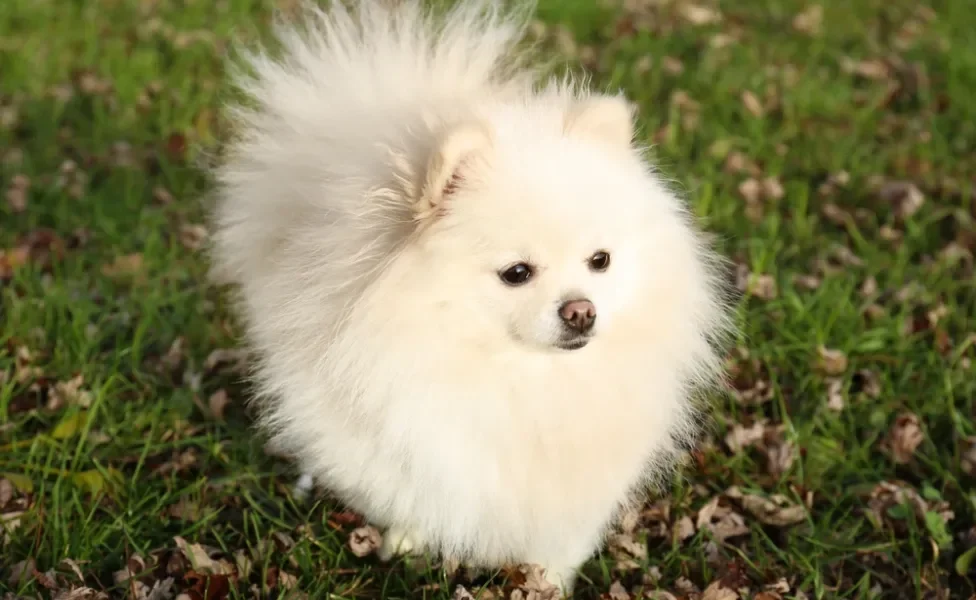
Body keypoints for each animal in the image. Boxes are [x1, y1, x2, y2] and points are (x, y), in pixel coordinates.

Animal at [212, 0, 732, 592]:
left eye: (600, 261)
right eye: (517, 273)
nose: (581, 311)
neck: (526, 380)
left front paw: (547, 583)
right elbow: (419, 493)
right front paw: (409, 544)